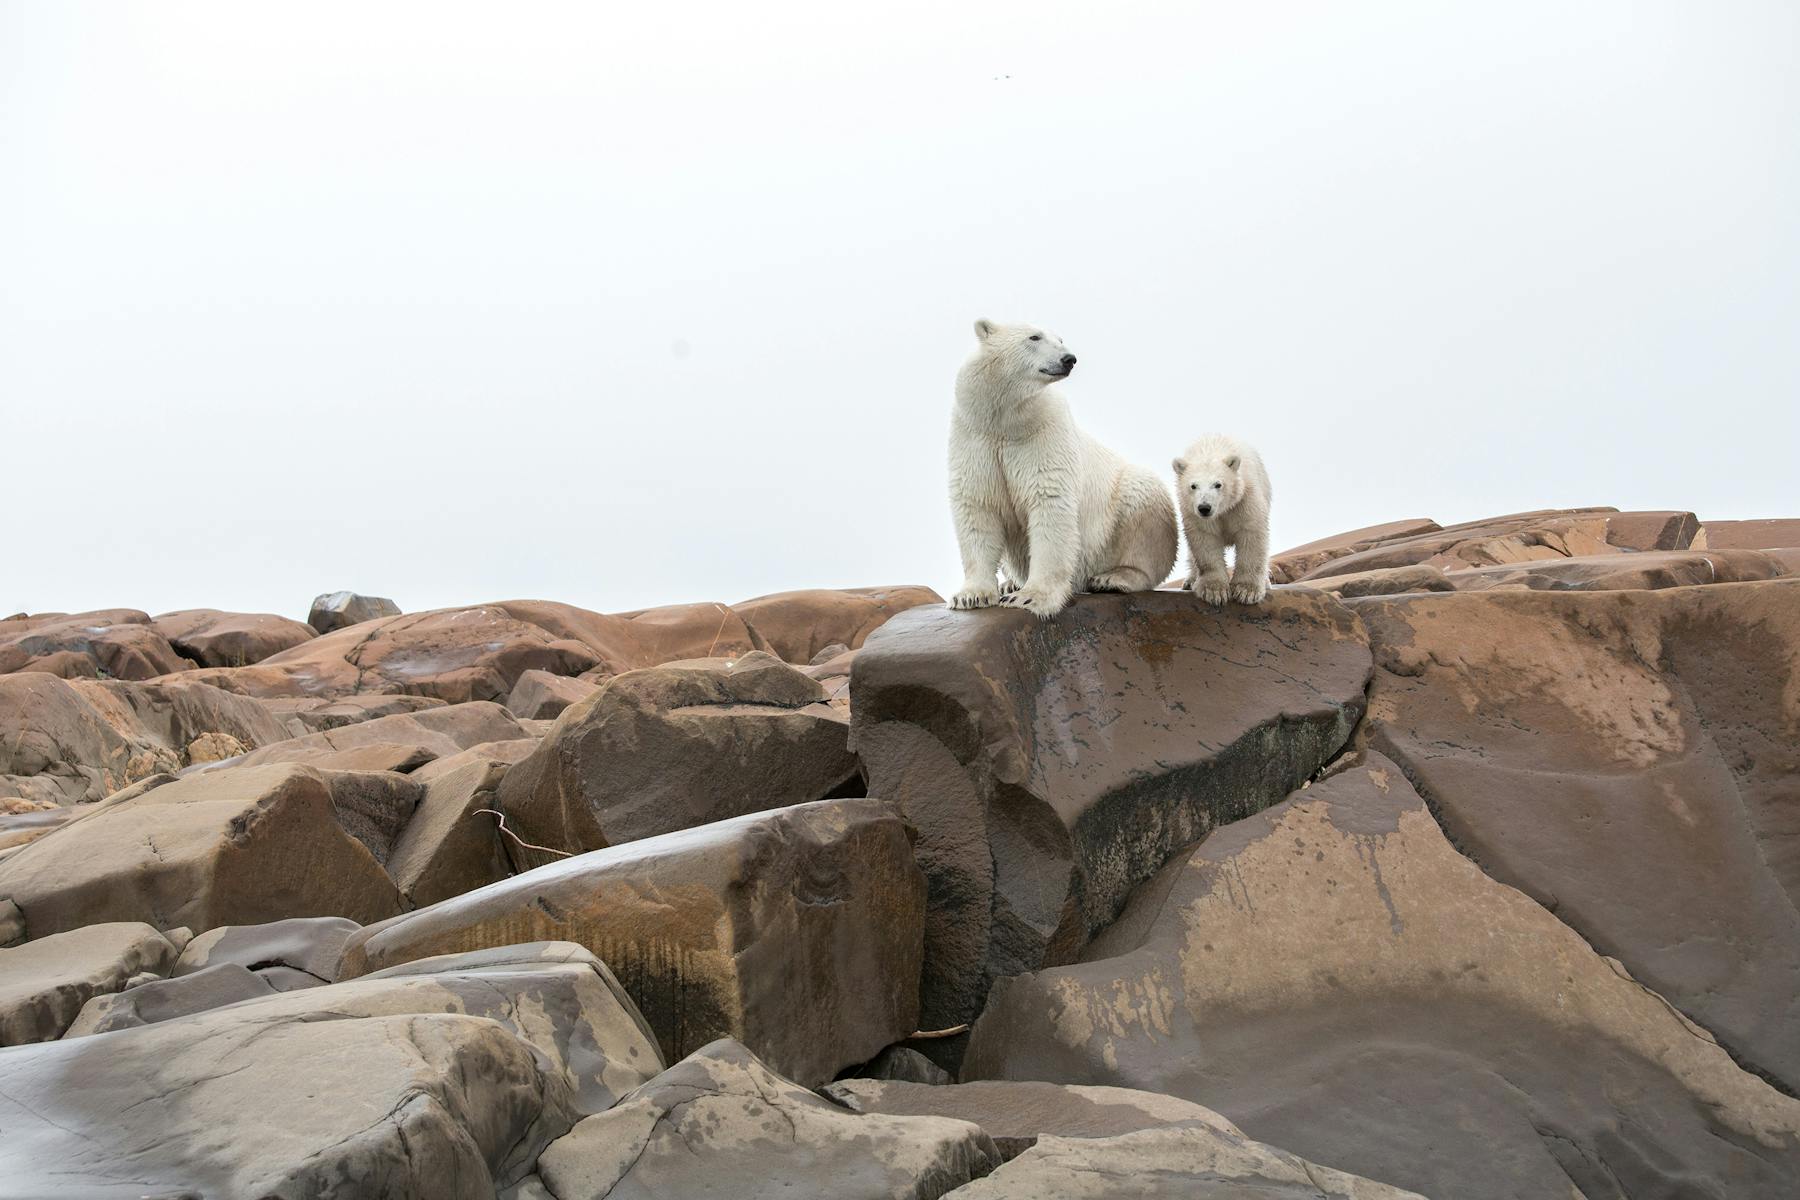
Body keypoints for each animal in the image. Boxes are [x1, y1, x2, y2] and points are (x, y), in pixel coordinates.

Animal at [947, 319, 1178, 618]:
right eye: (1034, 337)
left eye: (1060, 339)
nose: (1069, 359)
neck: (1006, 421)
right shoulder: (975, 436)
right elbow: (978, 506)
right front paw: (971, 596)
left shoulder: (1043, 434)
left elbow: (1049, 504)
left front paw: (1030, 598)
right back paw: (1010, 582)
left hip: (1126, 509)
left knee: (1144, 519)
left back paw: (1112, 578)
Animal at [1173, 433, 1273, 605]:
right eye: (1193, 486)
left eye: (1218, 484)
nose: (1204, 507)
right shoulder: (1194, 514)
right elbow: (1205, 541)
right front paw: (1215, 592)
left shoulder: (1244, 501)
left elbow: (1251, 536)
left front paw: (1246, 591)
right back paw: (1190, 581)